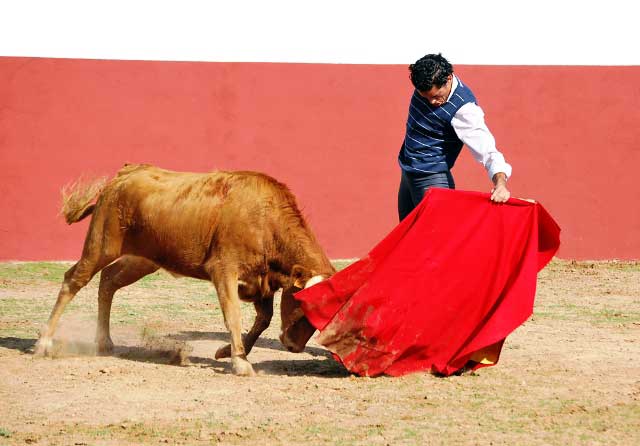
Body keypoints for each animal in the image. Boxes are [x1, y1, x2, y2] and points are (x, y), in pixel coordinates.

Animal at [35, 164, 332, 376]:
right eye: (304, 305)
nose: (294, 347)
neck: (265, 219)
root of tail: (123, 174)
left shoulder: (262, 280)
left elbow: (264, 319)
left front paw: (227, 352)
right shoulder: (224, 270)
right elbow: (233, 316)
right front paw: (240, 363)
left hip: (143, 259)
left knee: (108, 281)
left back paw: (104, 343)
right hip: (101, 245)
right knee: (74, 280)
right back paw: (43, 344)